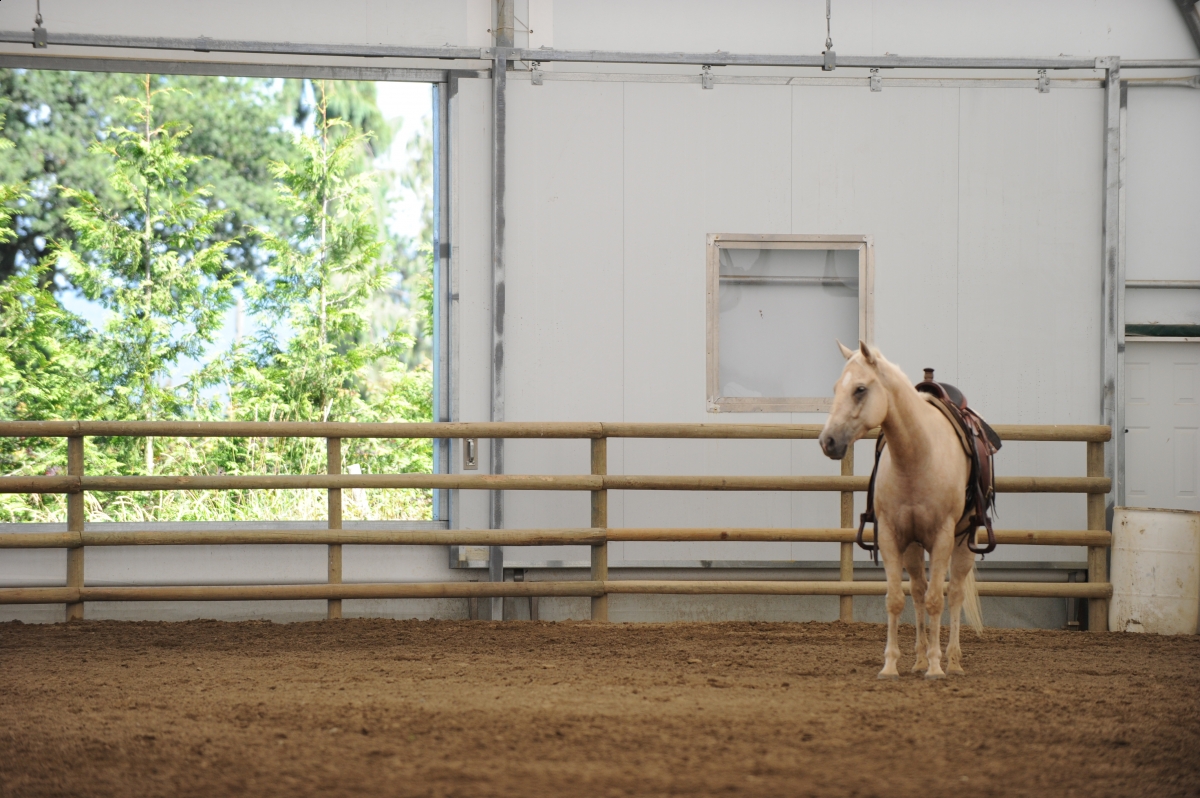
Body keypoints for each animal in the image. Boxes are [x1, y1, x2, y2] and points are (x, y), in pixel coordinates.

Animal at [819, 340, 983, 680]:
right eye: (836, 387)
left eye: (860, 389)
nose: (827, 441)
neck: (917, 457)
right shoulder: (892, 538)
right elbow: (896, 600)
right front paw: (891, 665)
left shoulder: (943, 538)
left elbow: (936, 601)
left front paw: (936, 666)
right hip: (913, 546)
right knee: (918, 591)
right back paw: (919, 660)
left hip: (963, 543)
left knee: (955, 593)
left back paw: (952, 661)